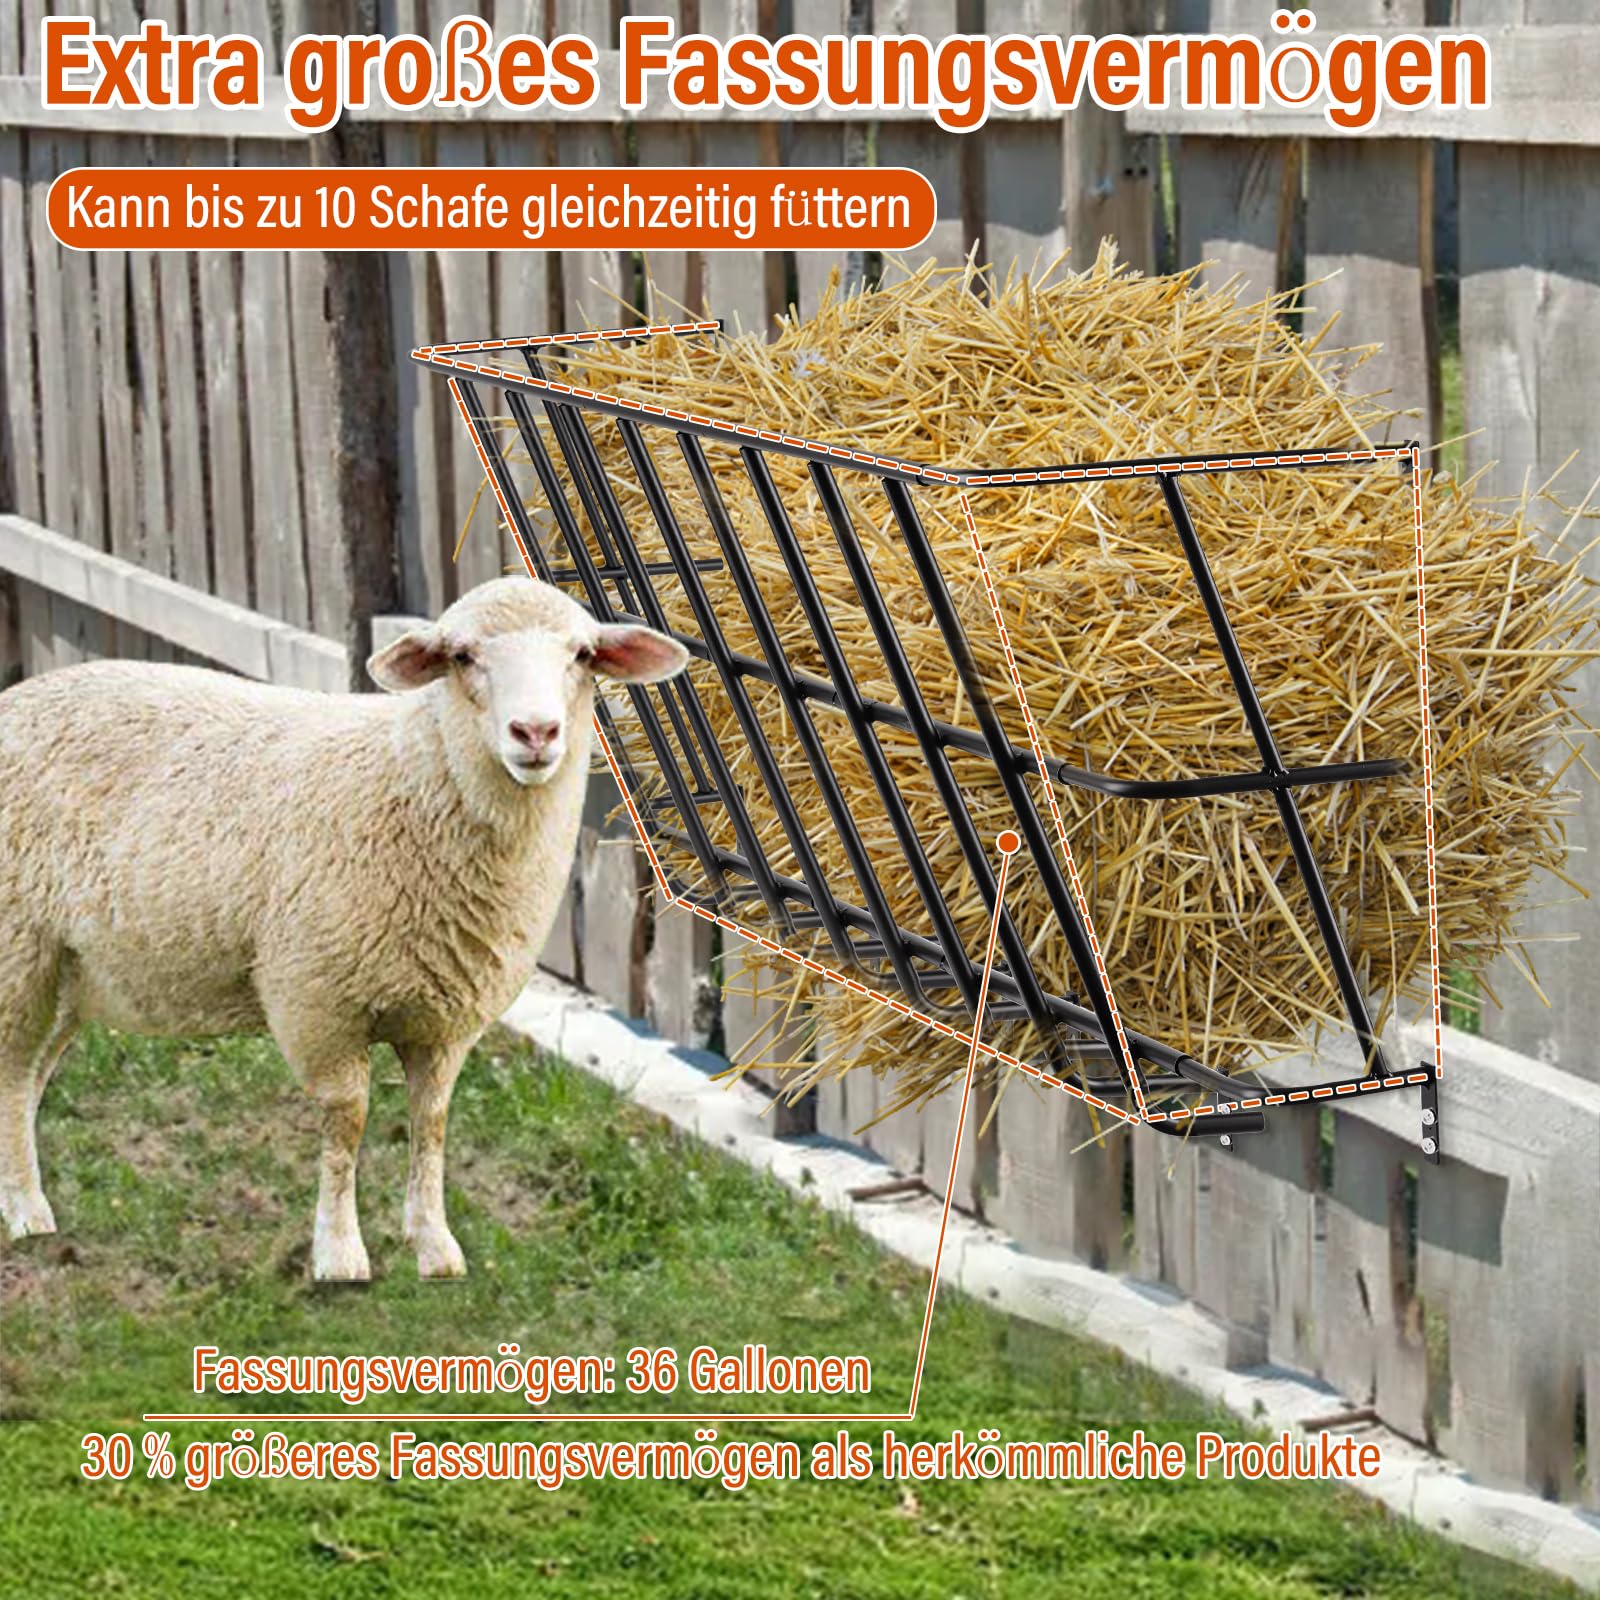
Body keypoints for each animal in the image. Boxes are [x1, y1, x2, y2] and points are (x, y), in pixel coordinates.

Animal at [0, 575, 688, 1281]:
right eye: (462, 655)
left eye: (582, 654)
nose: (536, 731)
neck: (413, 782)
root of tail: (16, 697)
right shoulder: (316, 1001)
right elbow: (346, 1121)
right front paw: (338, 1253)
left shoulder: (447, 1021)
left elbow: (432, 1121)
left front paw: (433, 1245)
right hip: (16, 948)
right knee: (12, 1075)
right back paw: (28, 1212)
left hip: (67, 970)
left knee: (26, 1080)